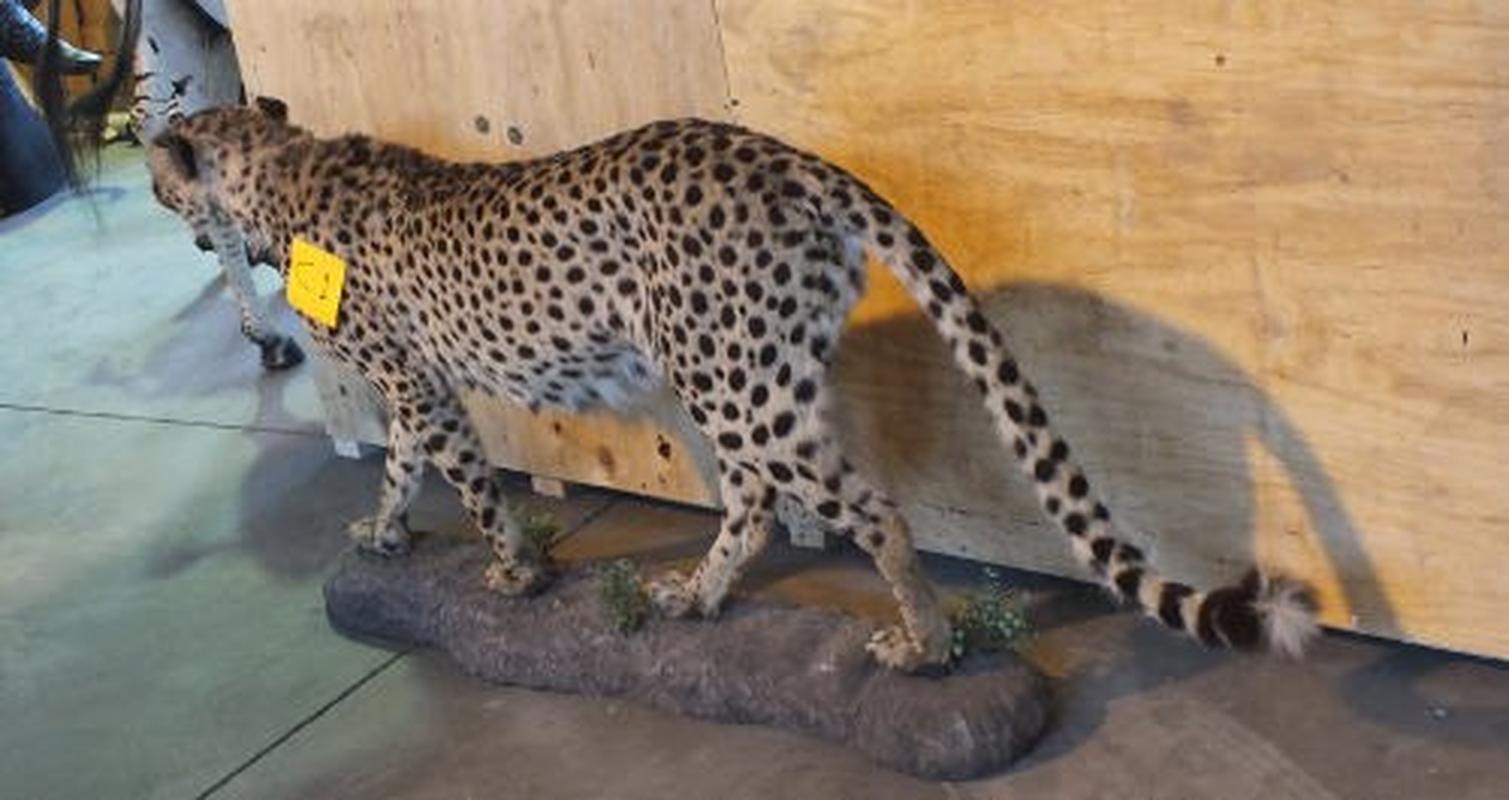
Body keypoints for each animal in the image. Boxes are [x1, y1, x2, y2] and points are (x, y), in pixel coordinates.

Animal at [145, 98, 1318, 671]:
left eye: (159, 188)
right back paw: (702, 596)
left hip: (733, 380)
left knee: (866, 505)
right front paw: (385, 537)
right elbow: (399, 471)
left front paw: (514, 574)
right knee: (756, 501)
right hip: (749, 372)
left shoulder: (416, 383)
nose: (182, 226)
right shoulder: (415, 386)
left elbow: (467, 487)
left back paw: (924, 643)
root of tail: (781, 154)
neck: (277, 172)